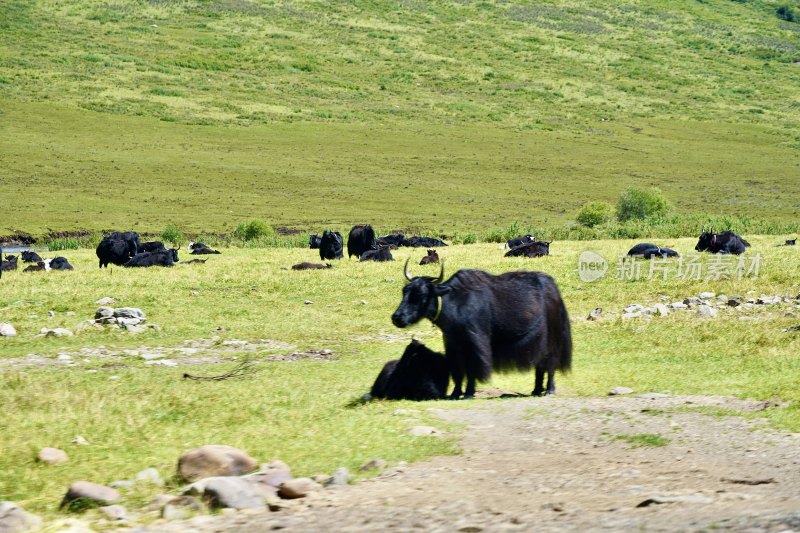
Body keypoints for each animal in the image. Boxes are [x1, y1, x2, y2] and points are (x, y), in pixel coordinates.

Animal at [390, 260, 572, 396]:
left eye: (421, 294)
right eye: (404, 291)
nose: (396, 317)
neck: (454, 303)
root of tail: (553, 289)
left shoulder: (475, 342)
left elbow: (472, 368)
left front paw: (469, 393)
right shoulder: (453, 345)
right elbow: (458, 370)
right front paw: (456, 393)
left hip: (552, 339)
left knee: (550, 364)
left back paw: (549, 390)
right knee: (540, 365)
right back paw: (536, 390)